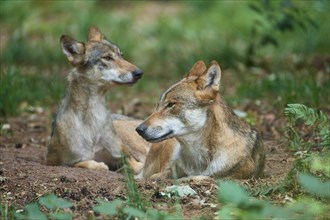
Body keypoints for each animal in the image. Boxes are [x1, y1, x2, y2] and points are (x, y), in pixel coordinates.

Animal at [45, 25, 151, 174]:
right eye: (107, 58)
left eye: (121, 55)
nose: (139, 73)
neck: (93, 122)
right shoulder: (52, 162)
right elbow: (82, 163)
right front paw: (99, 165)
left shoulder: (124, 156)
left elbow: (135, 165)